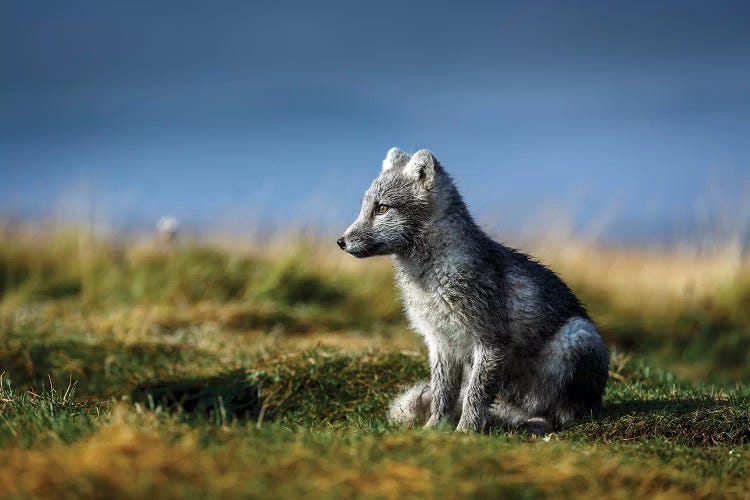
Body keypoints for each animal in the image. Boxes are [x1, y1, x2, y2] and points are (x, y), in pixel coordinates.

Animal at [340, 148, 612, 434]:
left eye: (381, 209)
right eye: (363, 207)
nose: (340, 241)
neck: (431, 282)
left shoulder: (490, 342)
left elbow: (475, 395)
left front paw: (465, 432)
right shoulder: (441, 343)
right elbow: (443, 394)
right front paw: (434, 428)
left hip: (577, 337)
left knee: (563, 415)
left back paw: (538, 423)